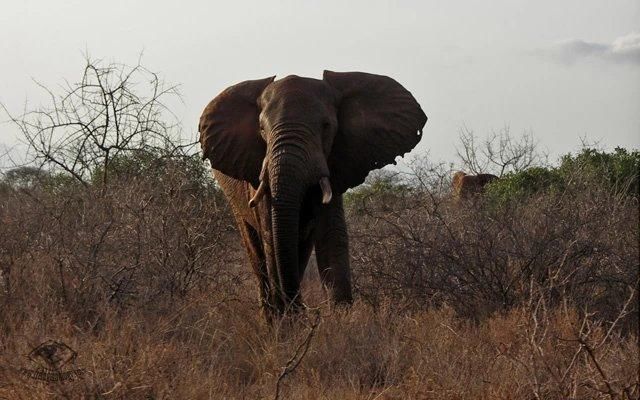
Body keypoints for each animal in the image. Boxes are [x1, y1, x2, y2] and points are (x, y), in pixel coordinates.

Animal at [200, 72, 428, 320]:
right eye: (261, 129)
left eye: (326, 126)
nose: (303, 311)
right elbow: (271, 237)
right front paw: (287, 324)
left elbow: (331, 234)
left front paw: (342, 322)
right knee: (259, 254)